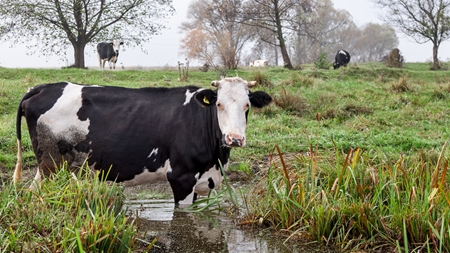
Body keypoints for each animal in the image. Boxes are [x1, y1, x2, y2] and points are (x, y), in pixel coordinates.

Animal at [14, 76, 272, 206]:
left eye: (247, 105)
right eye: (219, 104)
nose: (235, 138)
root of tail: (44, 86)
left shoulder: (204, 180)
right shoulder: (182, 177)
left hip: (49, 166)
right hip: (51, 164)